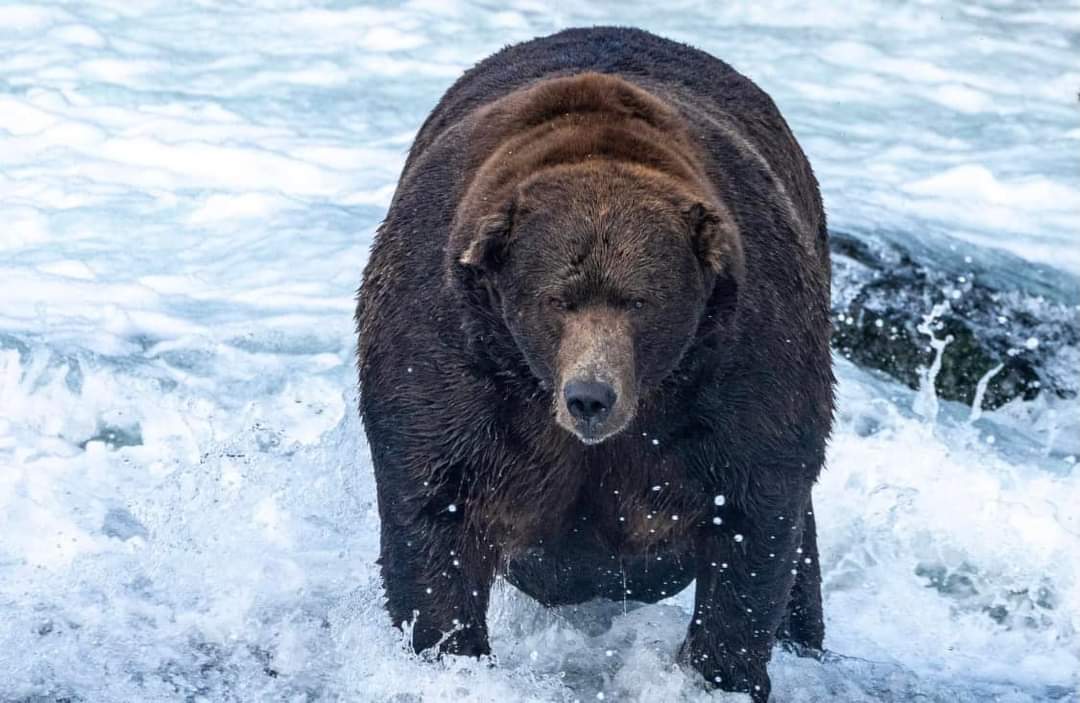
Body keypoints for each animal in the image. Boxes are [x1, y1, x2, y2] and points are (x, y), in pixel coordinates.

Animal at [356, 27, 834, 702]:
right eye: (557, 299)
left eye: (639, 301)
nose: (590, 396)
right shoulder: (451, 348)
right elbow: (436, 505)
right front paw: (450, 650)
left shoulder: (743, 357)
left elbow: (752, 516)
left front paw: (722, 669)